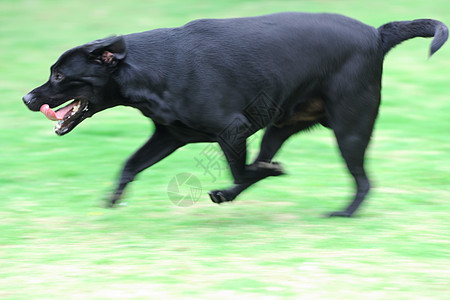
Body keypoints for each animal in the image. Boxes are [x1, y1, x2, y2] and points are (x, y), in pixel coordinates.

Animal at [22, 13, 446, 216]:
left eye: (58, 75)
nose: (27, 98)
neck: (151, 69)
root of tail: (377, 35)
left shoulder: (232, 129)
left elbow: (243, 169)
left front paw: (268, 173)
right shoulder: (169, 136)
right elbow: (129, 165)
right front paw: (111, 204)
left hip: (350, 129)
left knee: (363, 181)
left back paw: (343, 214)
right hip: (282, 125)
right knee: (262, 164)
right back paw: (232, 190)